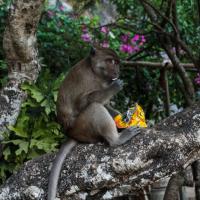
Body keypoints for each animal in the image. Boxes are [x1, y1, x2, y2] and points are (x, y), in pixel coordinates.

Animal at [47, 46, 141, 199]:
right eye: (110, 61)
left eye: (117, 63)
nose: (117, 72)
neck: (95, 72)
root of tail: (71, 134)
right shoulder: (86, 79)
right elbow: (83, 102)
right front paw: (114, 87)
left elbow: (106, 105)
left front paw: (124, 118)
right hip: (82, 127)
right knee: (94, 107)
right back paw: (117, 139)